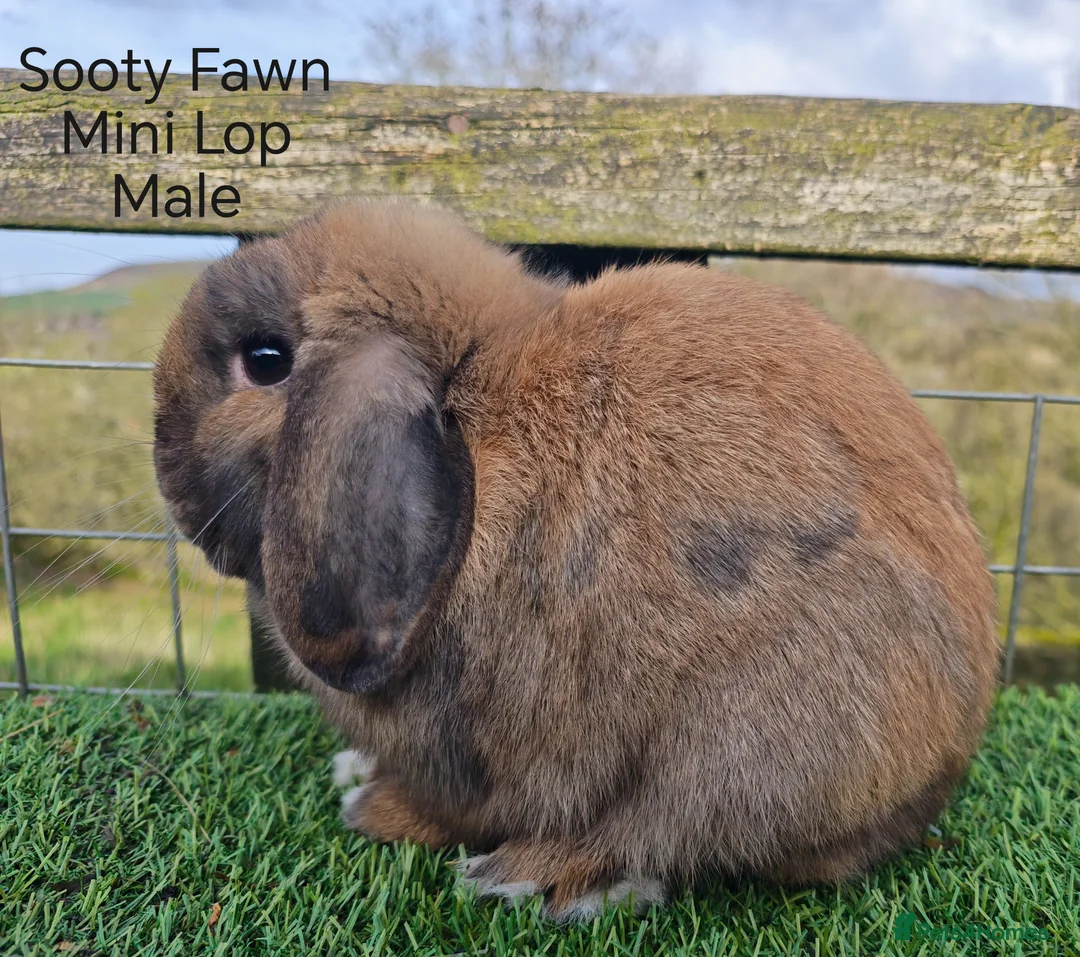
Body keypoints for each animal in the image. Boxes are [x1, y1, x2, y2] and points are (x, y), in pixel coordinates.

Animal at [153, 197, 1000, 921]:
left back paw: (527, 875)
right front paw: (356, 772)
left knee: (659, 835)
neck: (471, 394)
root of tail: (938, 776)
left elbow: (452, 803)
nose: (167, 475)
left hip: (740, 740)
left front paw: (371, 808)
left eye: (266, 360)